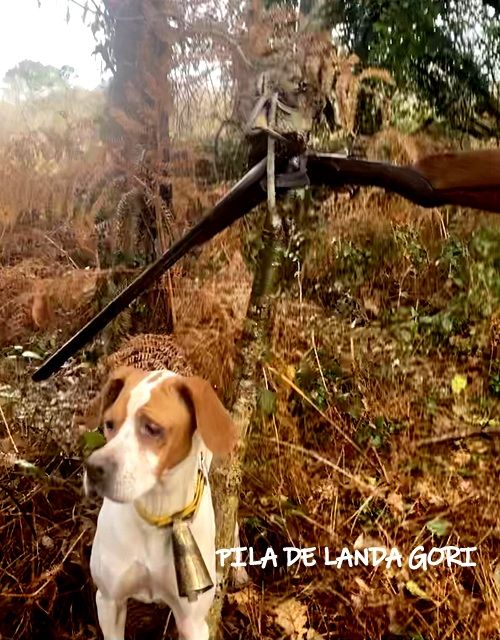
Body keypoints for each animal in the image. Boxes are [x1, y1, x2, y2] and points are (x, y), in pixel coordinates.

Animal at [84, 364, 238, 640]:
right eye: (109, 424)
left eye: (152, 428)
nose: (93, 469)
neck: (157, 513)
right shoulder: (109, 601)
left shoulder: (193, 622)